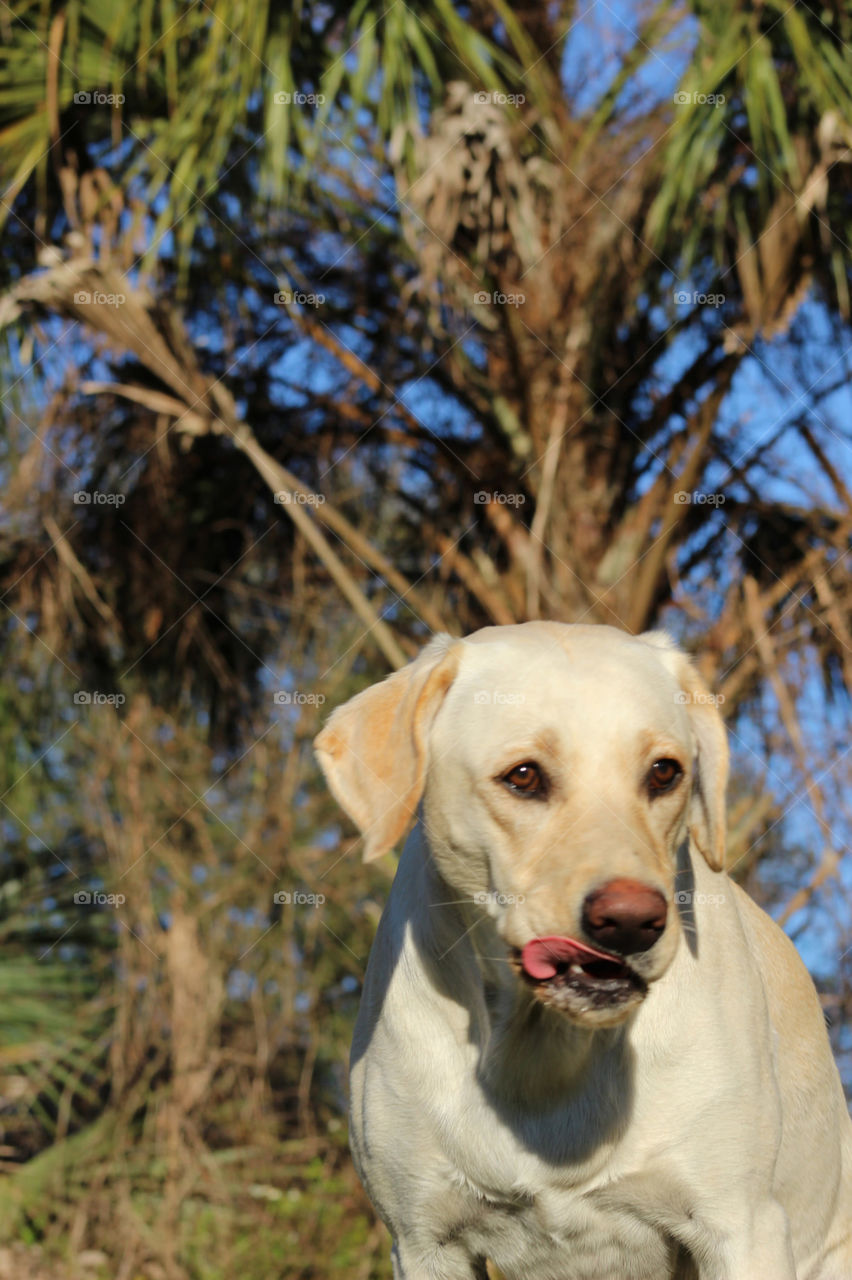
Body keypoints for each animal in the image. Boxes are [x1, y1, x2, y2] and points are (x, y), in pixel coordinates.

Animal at [313, 622, 849, 1280]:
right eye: (523, 776)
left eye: (664, 772)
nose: (631, 922)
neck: (546, 1047)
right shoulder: (422, 1242)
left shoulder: (742, 1228)